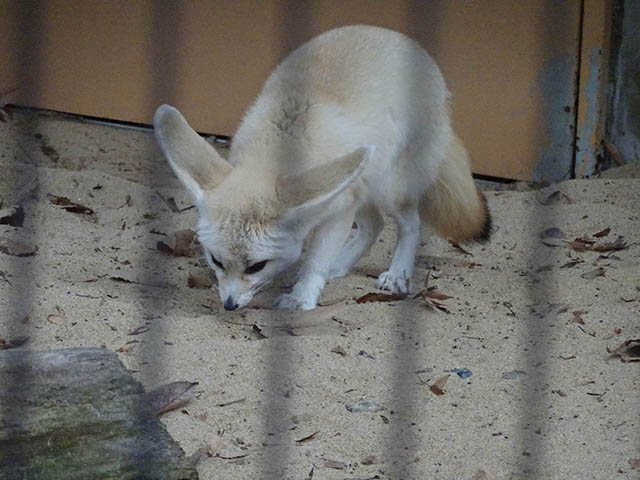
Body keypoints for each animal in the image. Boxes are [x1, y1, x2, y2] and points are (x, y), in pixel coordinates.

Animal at [153, 25, 491, 311]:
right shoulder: (344, 195)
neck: (279, 148)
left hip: (386, 187)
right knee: (375, 225)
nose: (229, 305)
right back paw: (341, 264)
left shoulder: (339, 207)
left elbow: (316, 259)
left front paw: (303, 296)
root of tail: (408, 43)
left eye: (256, 266)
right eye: (217, 261)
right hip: (363, 181)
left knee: (410, 224)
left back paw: (397, 274)